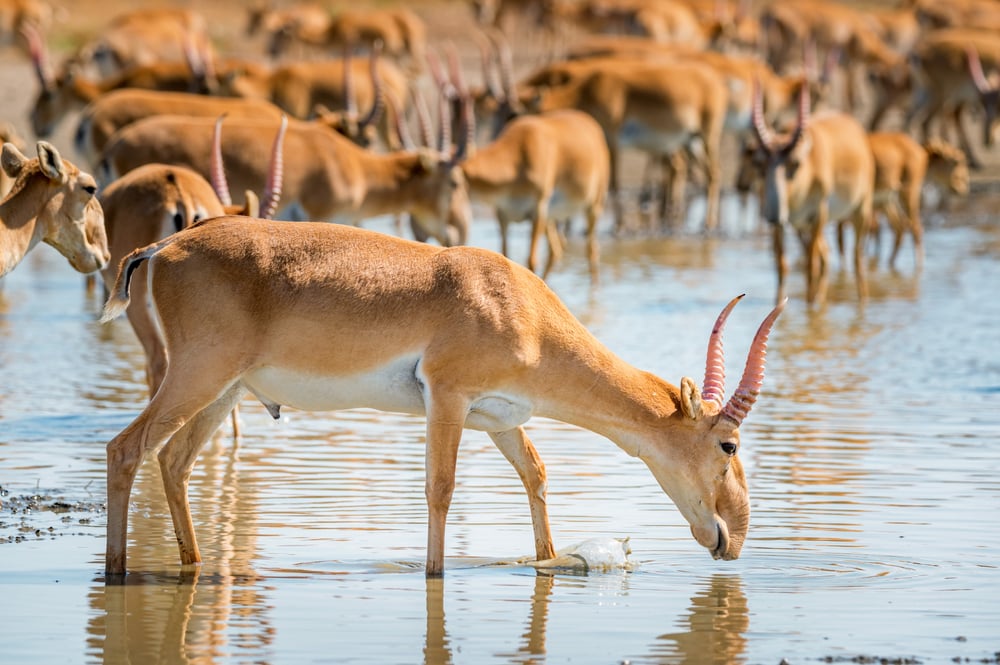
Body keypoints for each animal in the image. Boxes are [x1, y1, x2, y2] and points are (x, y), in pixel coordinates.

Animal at [99, 213, 786, 577]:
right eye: (728, 445)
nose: (735, 536)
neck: (521, 310)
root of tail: (163, 247)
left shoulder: (501, 417)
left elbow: (536, 473)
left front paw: (550, 561)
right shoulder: (447, 399)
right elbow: (440, 489)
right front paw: (435, 574)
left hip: (225, 392)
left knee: (173, 461)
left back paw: (191, 566)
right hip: (197, 377)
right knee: (125, 449)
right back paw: (116, 572)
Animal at [747, 84, 874, 304]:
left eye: (795, 164)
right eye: (758, 164)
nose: (774, 215)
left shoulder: (818, 215)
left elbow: (809, 266)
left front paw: (810, 305)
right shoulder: (781, 225)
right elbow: (782, 265)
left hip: (860, 211)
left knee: (856, 260)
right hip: (803, 226)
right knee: (826, 255)